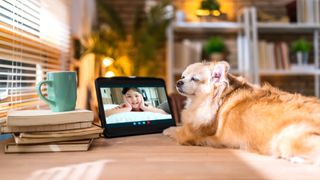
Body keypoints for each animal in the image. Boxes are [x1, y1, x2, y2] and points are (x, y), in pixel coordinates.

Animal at [164, 61, 320, 165]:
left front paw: (168, 129)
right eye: (183, 76)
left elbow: (177, 130)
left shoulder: (190, 133)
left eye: (194, 79)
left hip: (286, 138)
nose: (178, 82)